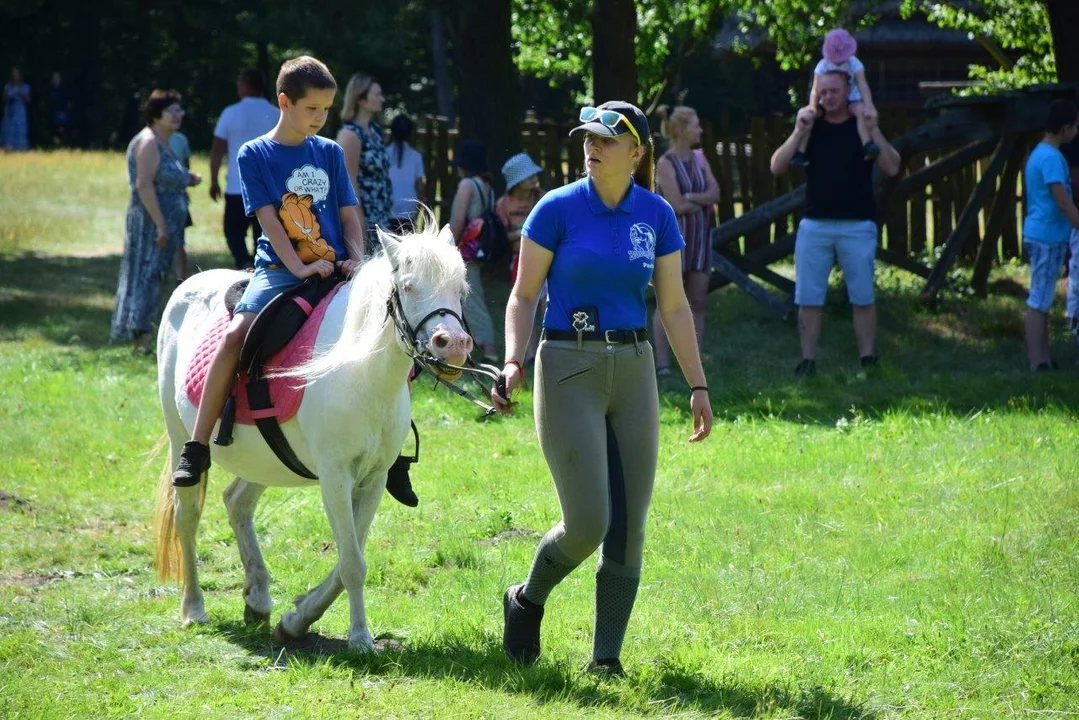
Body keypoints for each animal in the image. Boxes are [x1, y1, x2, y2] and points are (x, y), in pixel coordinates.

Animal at [155, 226, 472, 651]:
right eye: (408, 286)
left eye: (460, 289)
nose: (452, 344)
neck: (361, 371)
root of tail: (187, 286)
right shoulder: (335, 476)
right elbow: (352, 563)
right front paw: (360, 638)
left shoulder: (372, 479)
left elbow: (349, 558)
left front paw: (296, 620)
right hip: (180, 439)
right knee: (187, 517)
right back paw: (193, 607)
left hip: (266, 459)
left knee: (237, 502)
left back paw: (257, 597)